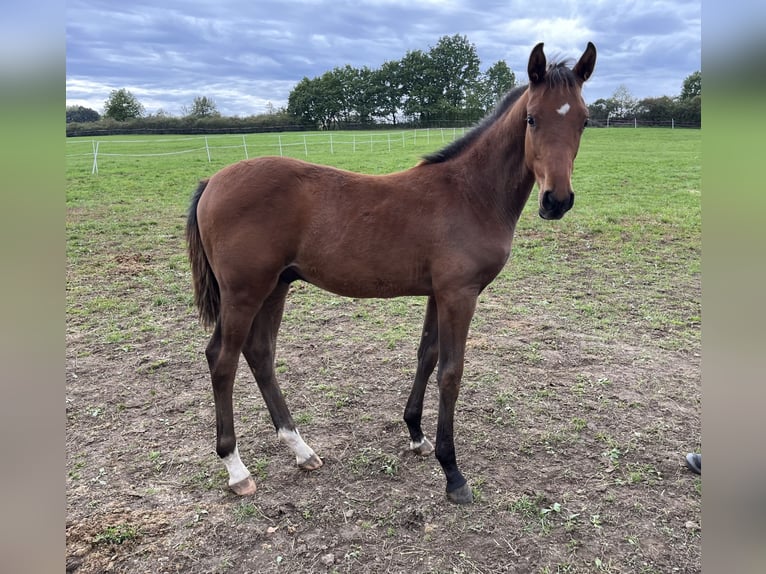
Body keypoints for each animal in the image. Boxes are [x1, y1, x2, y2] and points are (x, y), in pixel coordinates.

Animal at [186, 42, 596, 504]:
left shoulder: (439, 292)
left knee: (259, 354)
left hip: (275, 286)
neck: (471, 193)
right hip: (244, 292)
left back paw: (301, 449)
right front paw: (452, 472)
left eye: (584, 120)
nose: (556, 201)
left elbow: (427, 356)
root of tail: (212, 180)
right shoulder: (460, 294)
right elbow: (451, 372)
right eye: (531, 118)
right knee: (223, 359)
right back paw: (236, 468)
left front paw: (416, 434)